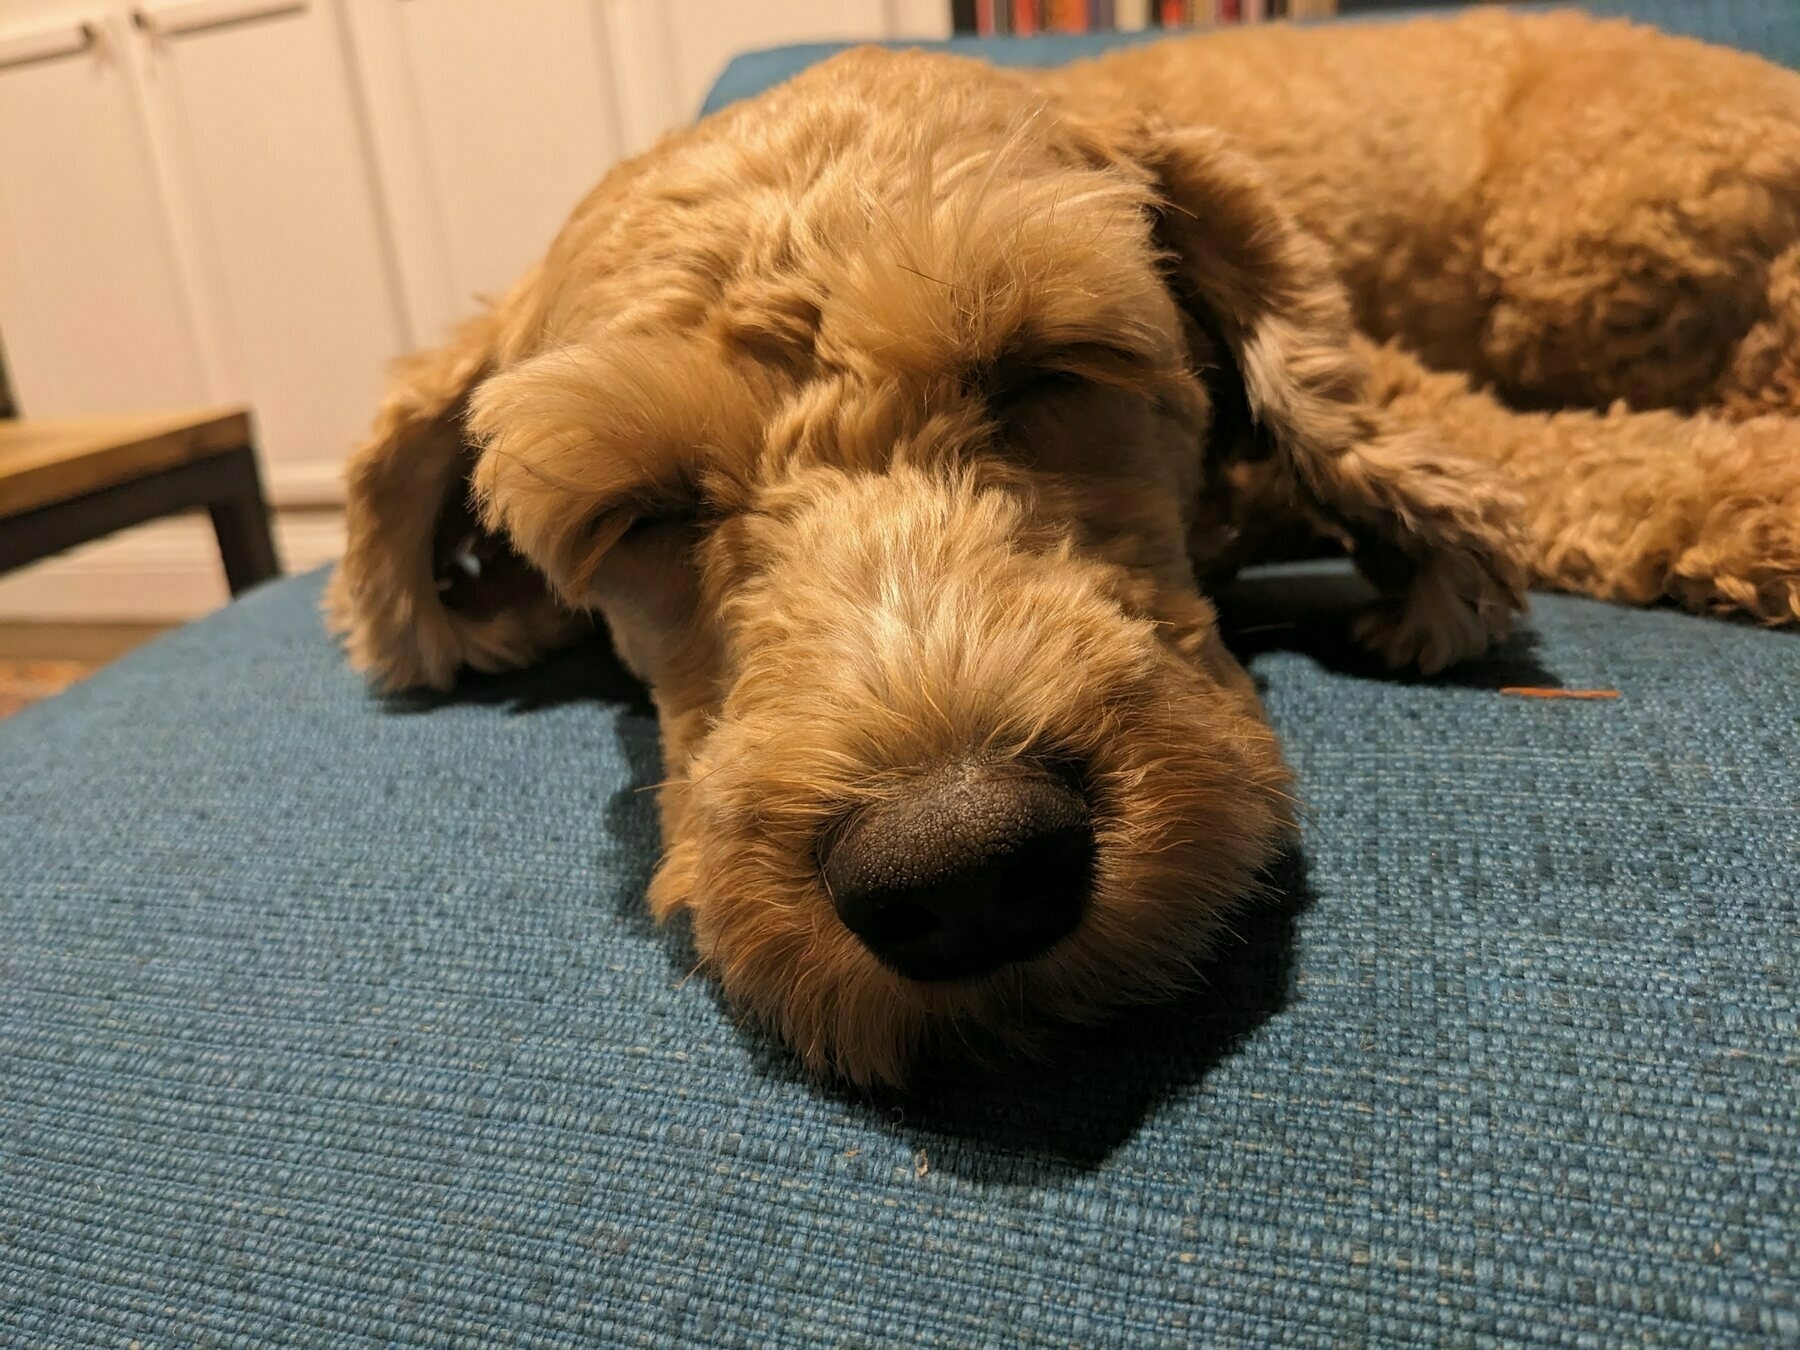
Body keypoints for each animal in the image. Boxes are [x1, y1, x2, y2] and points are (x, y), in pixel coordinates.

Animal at [331, 10, 1800, 1087]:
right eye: (638, 512)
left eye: (1047, 363)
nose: (964, 871)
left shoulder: (1411, 381)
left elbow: (1578, 462)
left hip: (1591, 240)